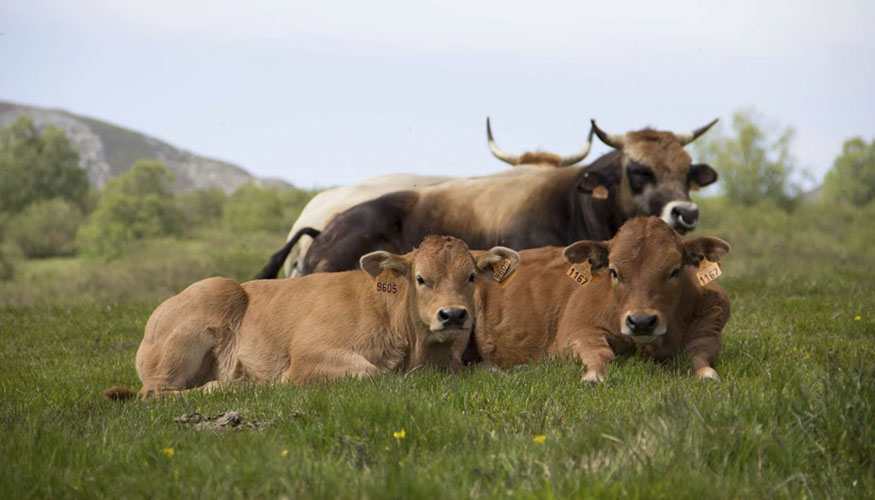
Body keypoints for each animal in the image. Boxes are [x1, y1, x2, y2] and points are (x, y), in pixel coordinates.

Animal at [103, 236, 520, 400]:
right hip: (208, 301)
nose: (453, 315)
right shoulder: (311, 351)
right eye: (421, 278)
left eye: (471, 276)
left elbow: (495, 371)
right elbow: (371, 374)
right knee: (156, 393)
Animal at [468, 217, 728, 384]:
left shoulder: (710, 328)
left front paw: (707, 374)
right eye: (614, 271)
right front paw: (593, 376)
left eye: (675, 270)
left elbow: (699, 353)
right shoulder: (575, 331)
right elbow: (601, 353)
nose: (642, 321)